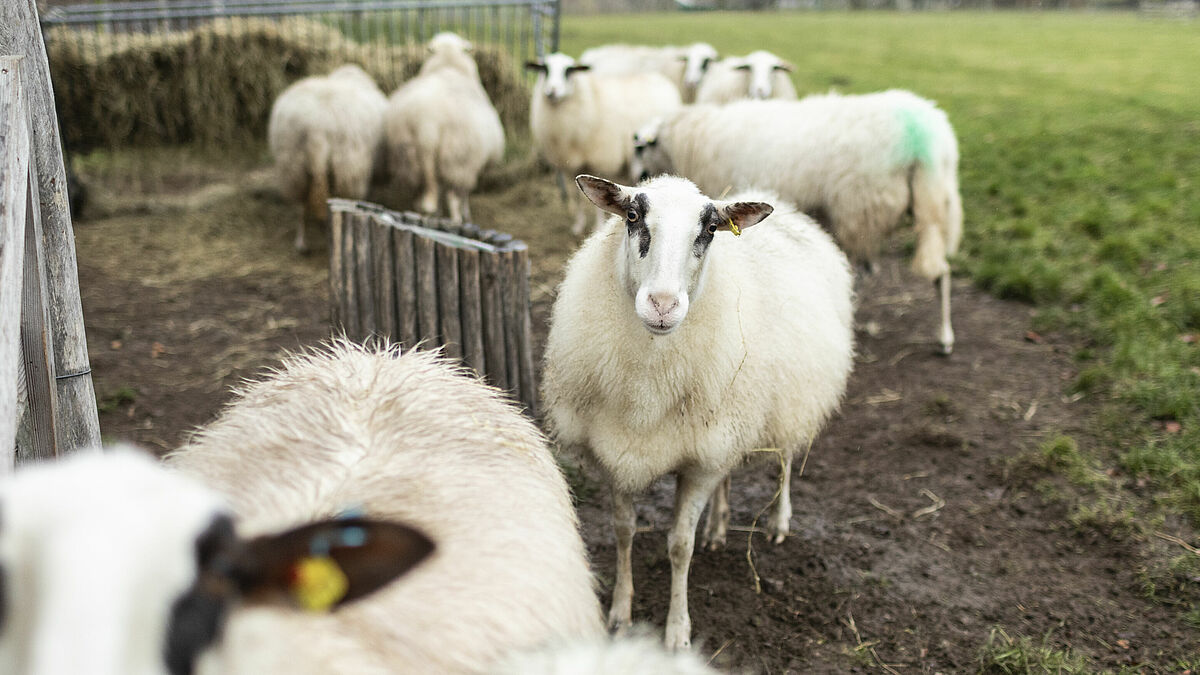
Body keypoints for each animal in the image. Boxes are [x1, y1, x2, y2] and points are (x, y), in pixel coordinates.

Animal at [628, 90, 964, 353]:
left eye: (641, 147)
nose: (637, 177)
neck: (691, 141)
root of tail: (925, 136)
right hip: (932, 204)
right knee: (940, 270)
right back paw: (945, 335)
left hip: (861, 208)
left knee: (871, 271)